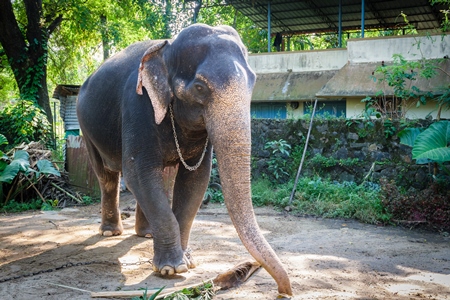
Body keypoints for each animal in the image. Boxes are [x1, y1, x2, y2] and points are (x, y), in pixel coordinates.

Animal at [76, 23, 294, 298]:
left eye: (253, 82)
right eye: (200, 87)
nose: (284, 292)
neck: (166, 49)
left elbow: (195, 180)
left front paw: (187, 262)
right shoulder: (137, 104)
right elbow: (137, 172)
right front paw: (171, 269)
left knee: (163, 178)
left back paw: (146, 234)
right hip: (85, 126)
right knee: (107, 176)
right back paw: (111, 231)